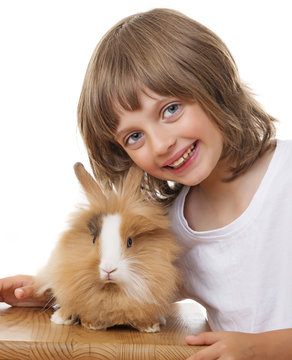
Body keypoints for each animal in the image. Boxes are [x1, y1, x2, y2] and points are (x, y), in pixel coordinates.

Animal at [35, 163, 181, 332]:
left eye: (130, 241)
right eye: (93, 240)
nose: (108, 269)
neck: (112, 289)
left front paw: (150, 327)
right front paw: (90, 324)